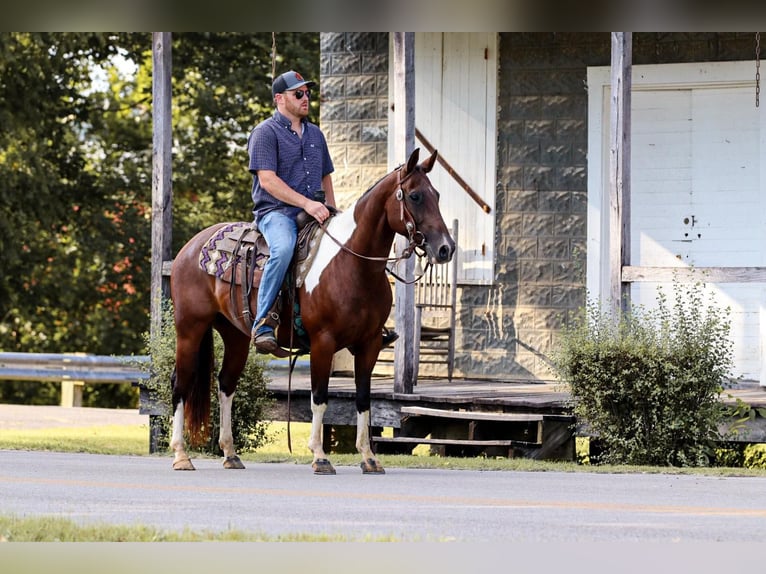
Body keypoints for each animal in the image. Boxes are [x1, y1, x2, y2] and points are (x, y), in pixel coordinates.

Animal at [169, 146, 456, 474]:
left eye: (436, 194)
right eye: (415, 196)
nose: (446, 248)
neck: (353, 265)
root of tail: (190, 248)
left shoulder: (370, 344)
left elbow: (363, 399)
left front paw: (369, 458)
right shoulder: (323, 341)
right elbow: (319, 397)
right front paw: (319, 456)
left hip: (236, 336)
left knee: (226, 385)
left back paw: (230, 453)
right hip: (190, 329)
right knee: (181, 383)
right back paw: (181, 455)